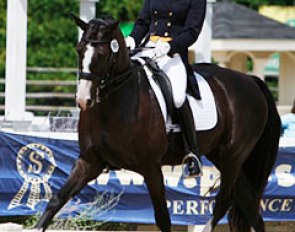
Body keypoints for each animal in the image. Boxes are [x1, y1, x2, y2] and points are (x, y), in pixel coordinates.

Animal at [35, 16, 280, 232]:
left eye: (103, 54)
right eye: (79, 50)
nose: (83, 100)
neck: (114, 104)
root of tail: (251, 81)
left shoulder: (151, 167)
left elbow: (163, 217)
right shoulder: (89, 162)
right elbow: (56, 200)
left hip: (233, 155)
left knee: (224, 201)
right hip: (221, 154)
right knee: (249, 203)